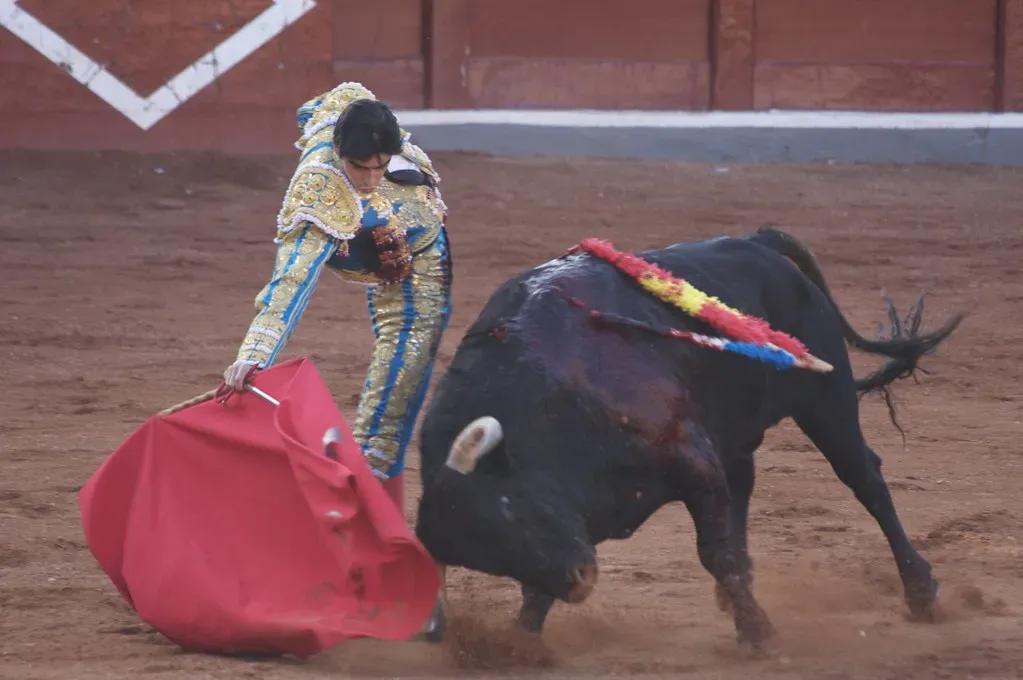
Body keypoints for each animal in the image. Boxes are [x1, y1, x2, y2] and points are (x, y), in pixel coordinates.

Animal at [412, 227, 963, 653]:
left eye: (509, 509)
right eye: (488, 555)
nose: (581, 580)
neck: (547, 399)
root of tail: (756, 242)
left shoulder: (691, 463)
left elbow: (714, 553)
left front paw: (758, 635)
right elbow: (536, 587)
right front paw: (521, 642)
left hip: (826, 401)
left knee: (864, 479)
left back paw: (921, 592)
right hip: (738, 427)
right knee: (745, 483)